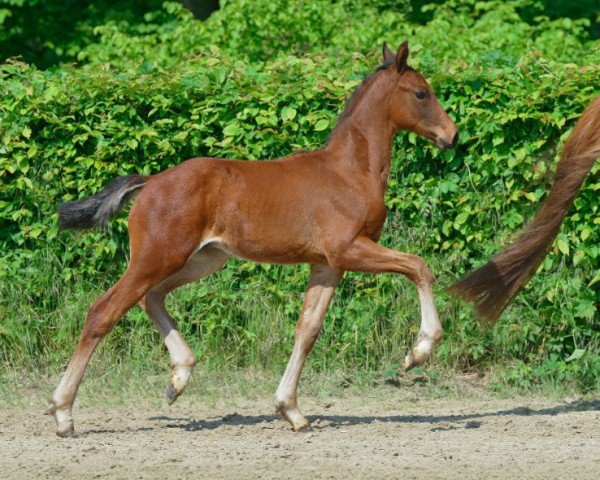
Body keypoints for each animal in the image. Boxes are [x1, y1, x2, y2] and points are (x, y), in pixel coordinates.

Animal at [48, 43, 460, 436]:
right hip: (156, 258)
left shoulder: (327, 265)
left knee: (151, 297)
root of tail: (149, 183)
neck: (349, 171)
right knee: (103, 312)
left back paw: (178, 378)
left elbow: (308, 330)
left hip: (204, 259)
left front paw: (290, 410)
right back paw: (63, 413)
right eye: (421, 93)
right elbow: (419, 267)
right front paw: (419, 351)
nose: (452, 135)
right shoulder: (350, 249)